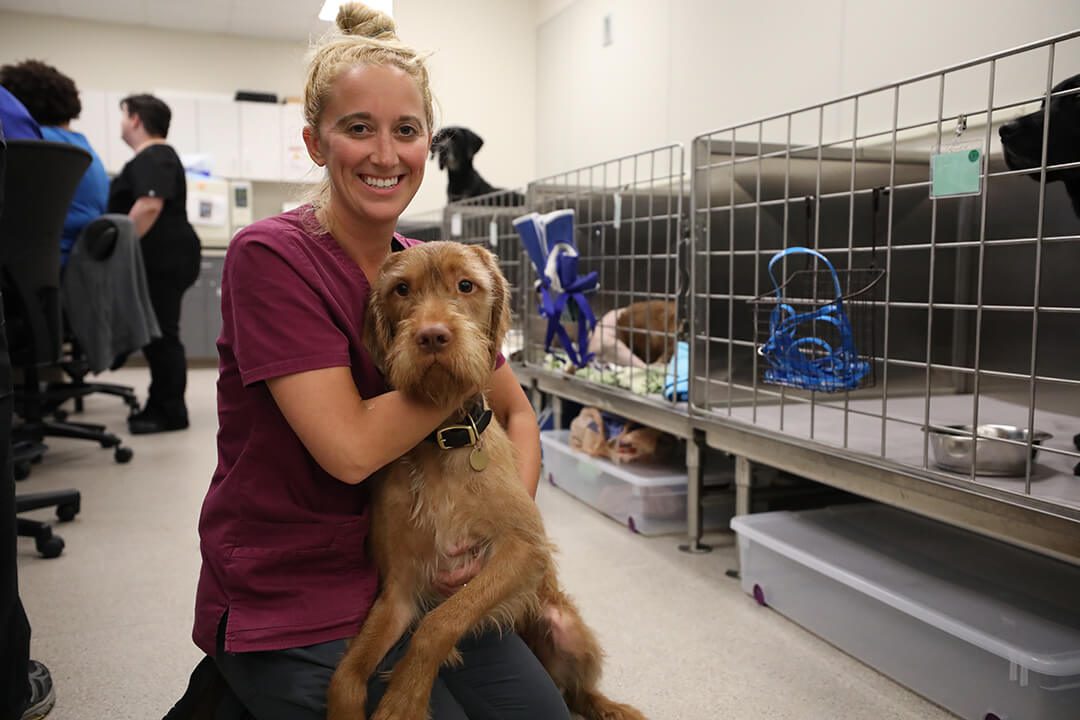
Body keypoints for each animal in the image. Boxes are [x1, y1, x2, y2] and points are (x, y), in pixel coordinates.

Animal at [324, 241, 643, 720]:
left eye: (465, 285)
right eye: (402, 289)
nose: (432, 335)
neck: (443, 442)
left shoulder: (524, 550)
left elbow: (440, 622)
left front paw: (403, 700)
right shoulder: (399, 589)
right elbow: (347, 674)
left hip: (568, 631)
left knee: (578, 692)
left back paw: (611, 707)